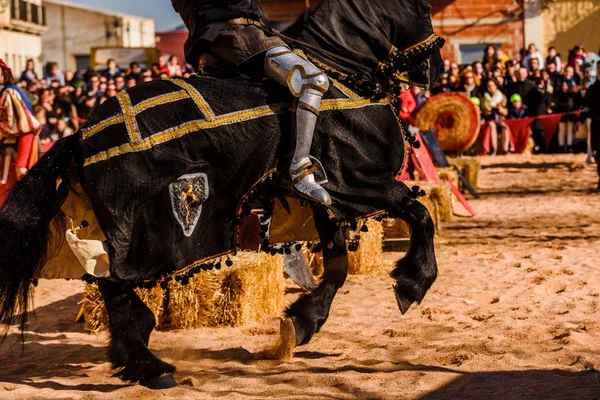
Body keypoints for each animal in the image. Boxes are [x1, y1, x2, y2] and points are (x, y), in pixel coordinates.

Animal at [0, 0, 440, 390]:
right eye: (425, 9)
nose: (432, 69)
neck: (344, 73)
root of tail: (80, 134)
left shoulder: (326, 202)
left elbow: (337, 265)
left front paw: (302, 322)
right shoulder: (356, 183)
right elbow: (419, 213)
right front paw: (412, 281)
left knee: (109, 285)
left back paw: (140, 352)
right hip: (144, 231)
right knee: (116, 286)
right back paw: (148, 366)